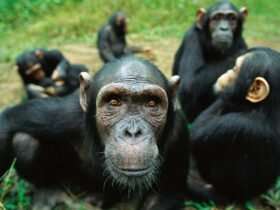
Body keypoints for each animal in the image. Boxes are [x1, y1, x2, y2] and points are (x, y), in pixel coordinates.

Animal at [0, 56, 189, 209]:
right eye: (113, 101)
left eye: (151, 103)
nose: (133, 131)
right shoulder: (63, 115)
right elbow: (9, 121)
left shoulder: (179, 132)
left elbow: (166, 195)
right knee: (24, 140)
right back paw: (48, 193)